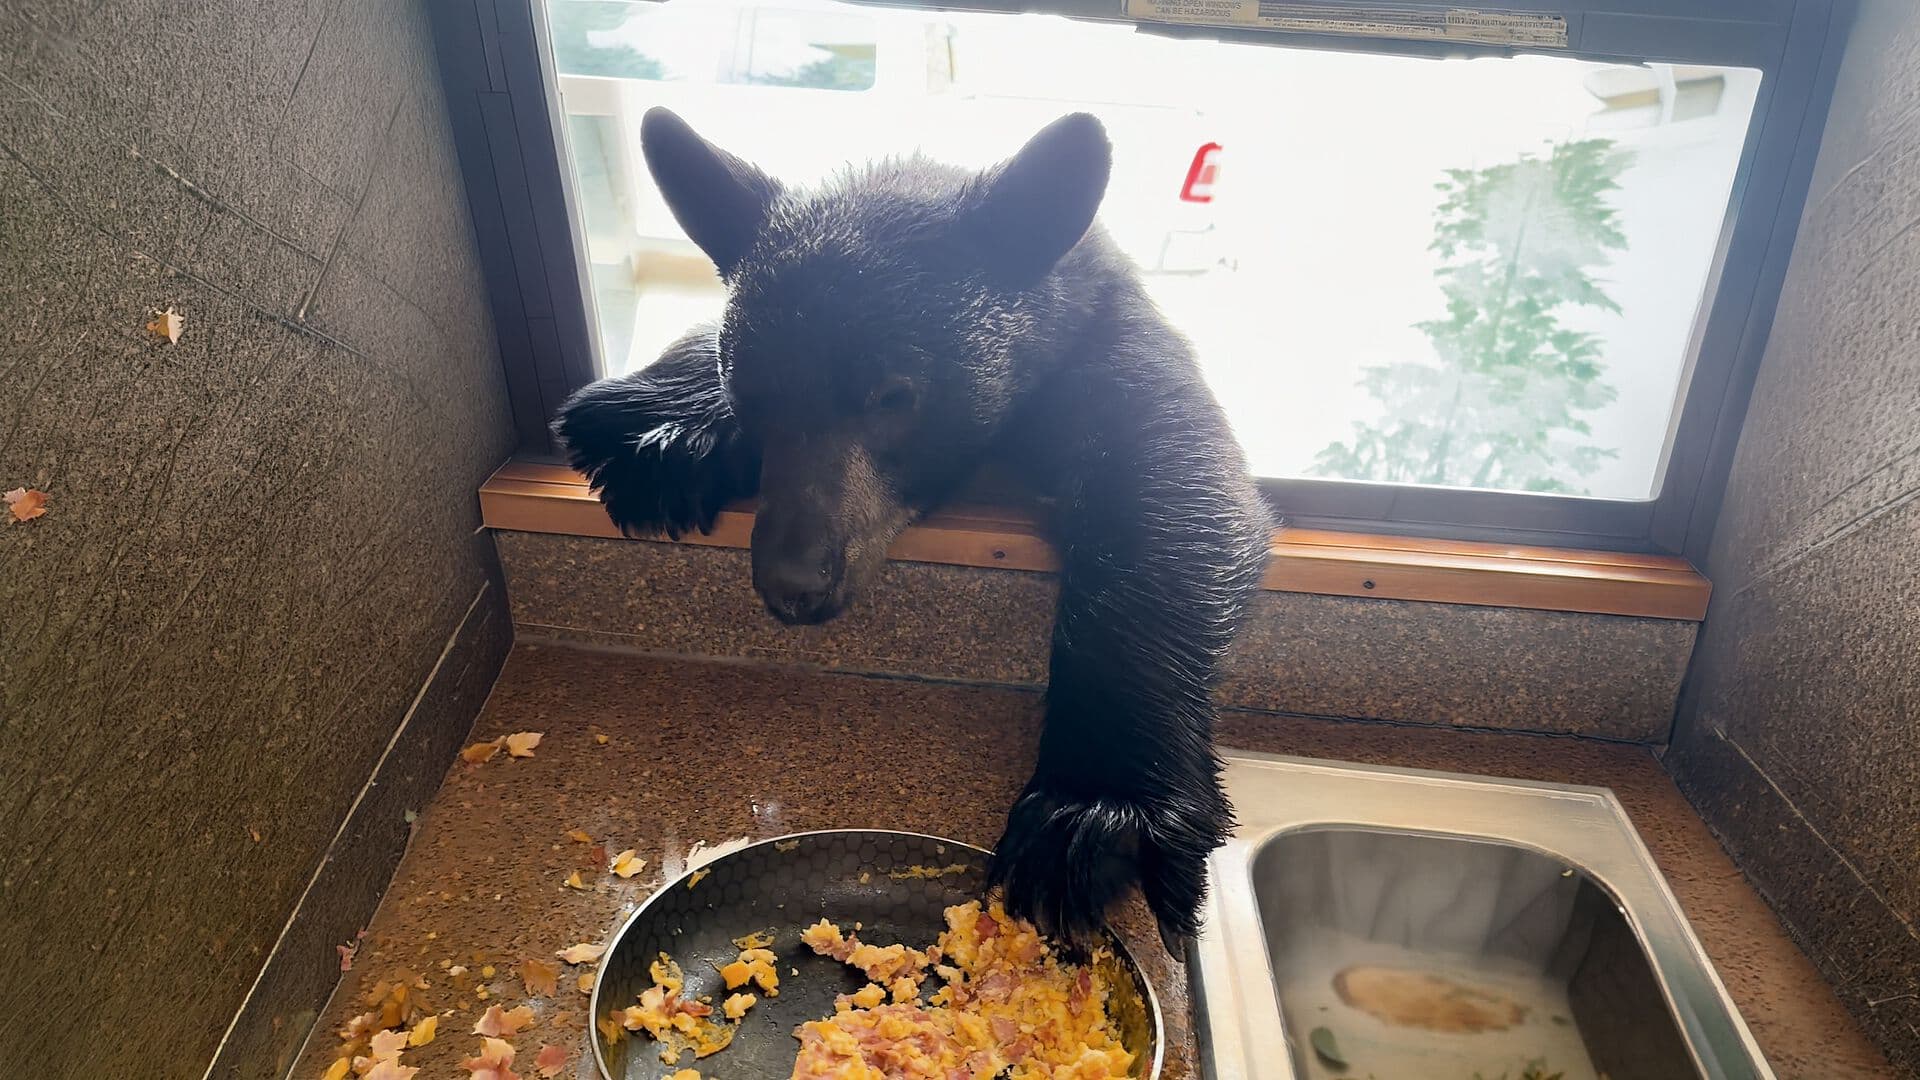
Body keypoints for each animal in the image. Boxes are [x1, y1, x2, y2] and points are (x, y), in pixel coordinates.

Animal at [556, 108, 1273, 956]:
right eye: (750, 393)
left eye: (894, 396)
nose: (793, 583)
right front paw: (659, 430)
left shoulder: (1117, 352)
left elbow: (1170, 494)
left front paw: (1095, 807)